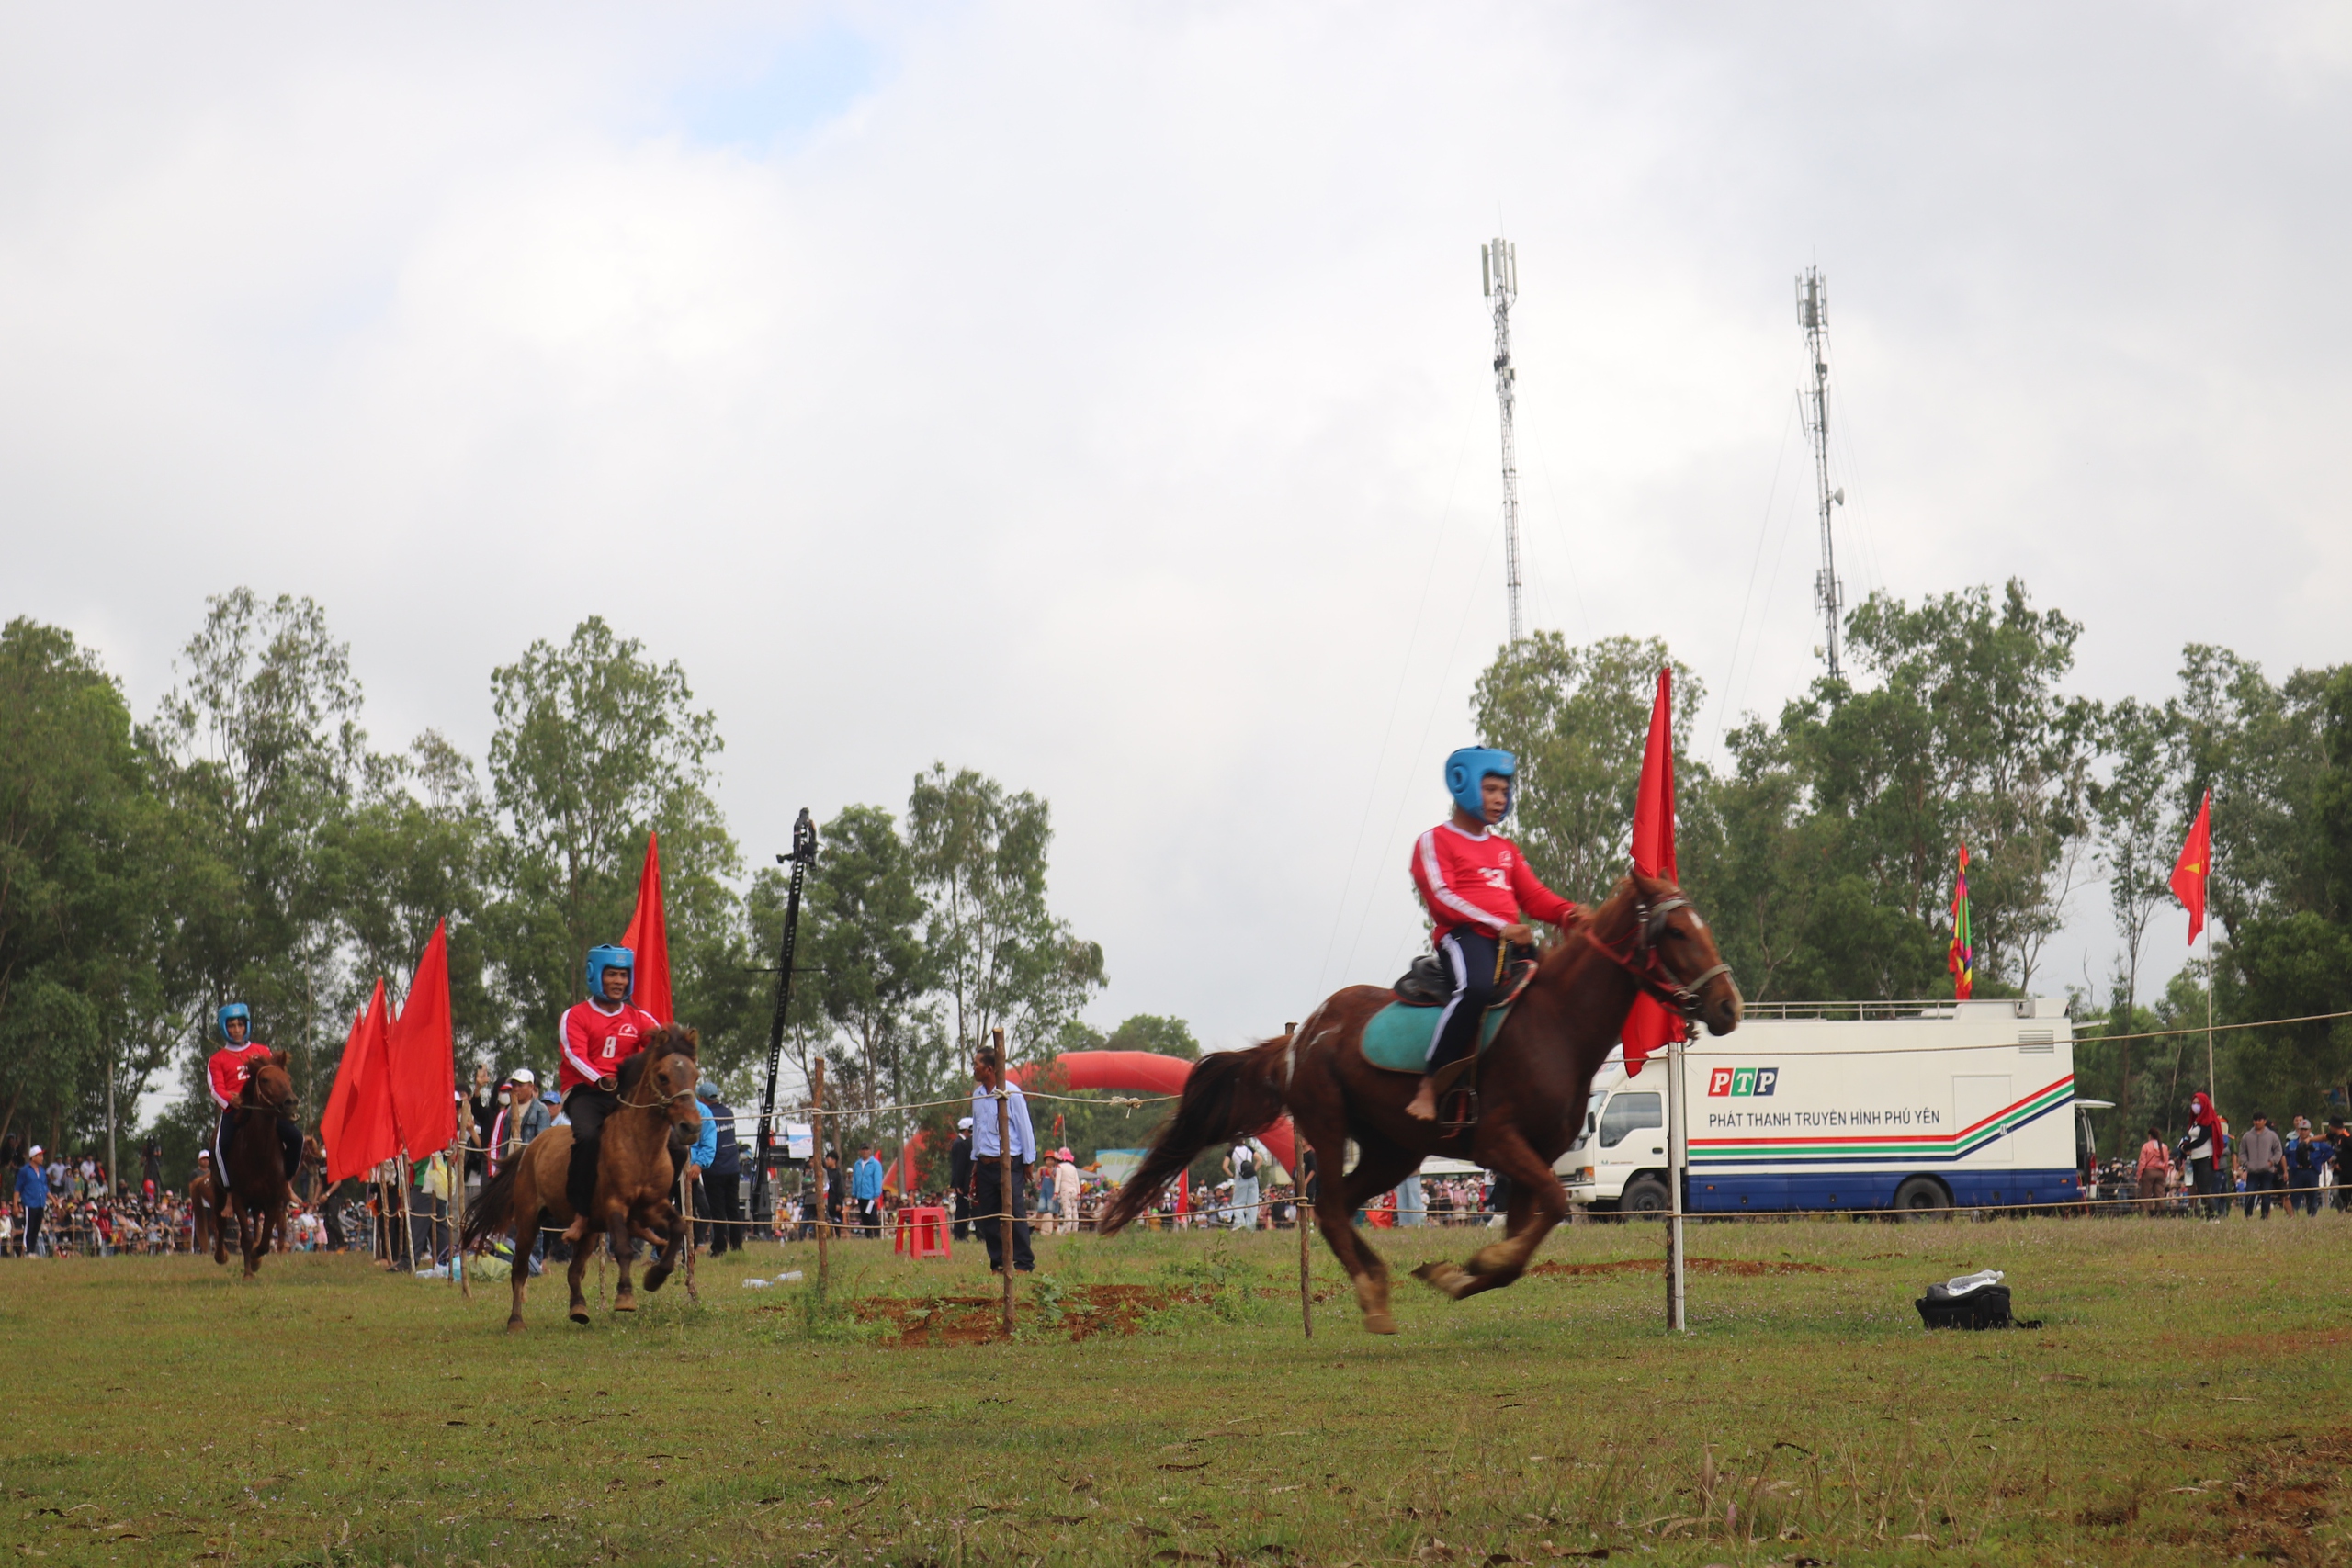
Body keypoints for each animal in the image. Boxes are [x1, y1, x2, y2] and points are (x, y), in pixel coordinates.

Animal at [213, 1053, 296, 1279]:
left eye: (288, 1078)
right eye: (265, 1080)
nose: (291, 1103)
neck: (259, 1152)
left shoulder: (274, 1200)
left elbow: (266, 1239)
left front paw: (257, 1259)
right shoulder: (239, 1199)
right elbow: (246, 1239)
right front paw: (248, 1273)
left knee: (259, 1225)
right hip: (219, 1191)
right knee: (220, 1222)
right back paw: (221, 1255)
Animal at [463, 1024, 700, 1335]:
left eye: (696, 1076)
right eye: (663, 1076)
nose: (691, 1127)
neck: (639, 1145)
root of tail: (532, 1147)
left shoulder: (652, 1206)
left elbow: (679, 1228)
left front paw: (655, 1277)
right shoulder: (614, 1205)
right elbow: (623, 1249)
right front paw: (625, 1296)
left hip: (589, 1231)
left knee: (574, 1270)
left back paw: (578, 1308)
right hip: (528, 1220)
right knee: (520, 1268)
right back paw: (516, 1320)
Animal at [1091, 879, 1740, 1335]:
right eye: (1677, 933)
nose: (1728, 1005)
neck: (1555, 1026)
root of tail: (1300, 1040)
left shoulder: (1529, 1160)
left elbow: (1521, 1243)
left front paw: (1458, 1271)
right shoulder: (1501, 1143)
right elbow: (1551, 1209)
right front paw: (1468, 1265)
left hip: (1394, 1152)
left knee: (1341, 1206)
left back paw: (1378, 1280)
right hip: (1329, 1128)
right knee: (1330, 1207)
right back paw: (1372, 1292)